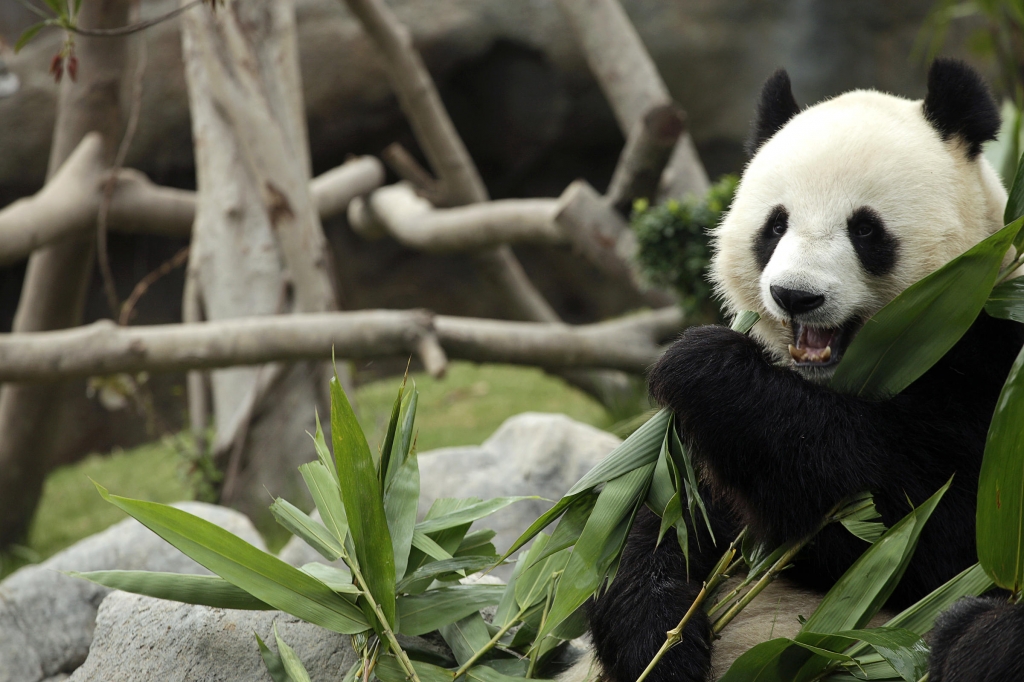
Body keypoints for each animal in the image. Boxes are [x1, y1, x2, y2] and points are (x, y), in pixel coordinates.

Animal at [581, 59, 1024, 679]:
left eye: (865, 229)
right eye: (775, 225)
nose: (795, 296)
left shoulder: (992, 369)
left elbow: (923, 524)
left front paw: (704, 367)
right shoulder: (707, 458)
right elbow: (652, 522)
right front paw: (664, 645)